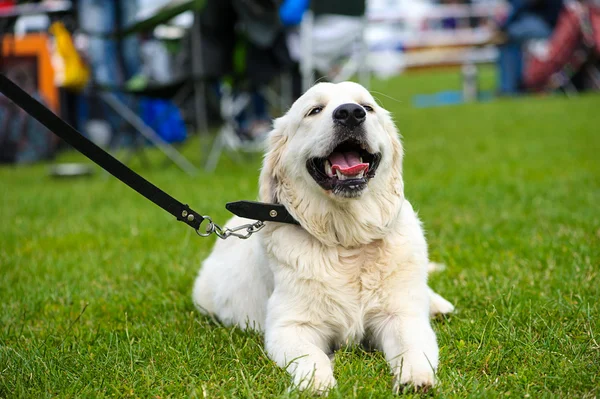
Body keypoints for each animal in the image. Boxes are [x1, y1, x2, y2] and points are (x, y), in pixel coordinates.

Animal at [195, 81, 452, 394]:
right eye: (314, 110)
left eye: (367, 107)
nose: (351, 113)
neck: (347, 239)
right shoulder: (291, 326)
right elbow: (311, 357)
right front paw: (317, 384)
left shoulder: (401, 315)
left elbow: (412, 346)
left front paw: (416, 378)